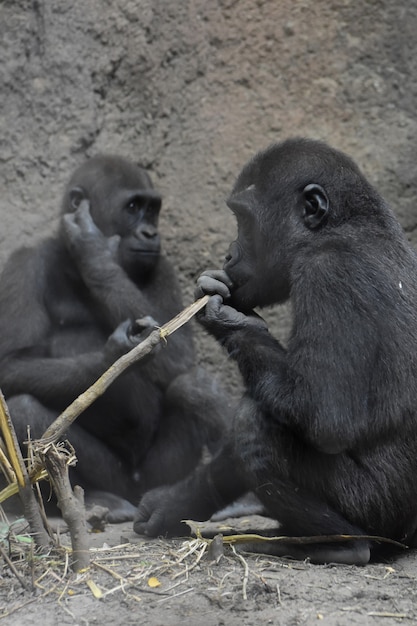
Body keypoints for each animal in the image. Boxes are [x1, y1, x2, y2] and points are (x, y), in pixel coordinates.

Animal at [0, 154, 228, 520]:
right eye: (133, 207)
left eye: (152, 209)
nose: (150, 232)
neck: (71, 266)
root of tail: (134, 491)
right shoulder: (23, 262)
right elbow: (11, 363)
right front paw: (116, 354)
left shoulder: (160, 265)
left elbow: (179, 354)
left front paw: (94, 253)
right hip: (117, 478)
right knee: (24, 409)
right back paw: (94, 499)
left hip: (155, 475)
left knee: (193, 383)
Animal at [134, 138, 417, 564]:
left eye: (244, 221)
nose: (228, 254)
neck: (346, 227)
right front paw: (177, 501)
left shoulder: (329, 273)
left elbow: (325, 415)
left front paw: (232, 320)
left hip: (381, 514)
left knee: (256, 428)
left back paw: (344, 546)